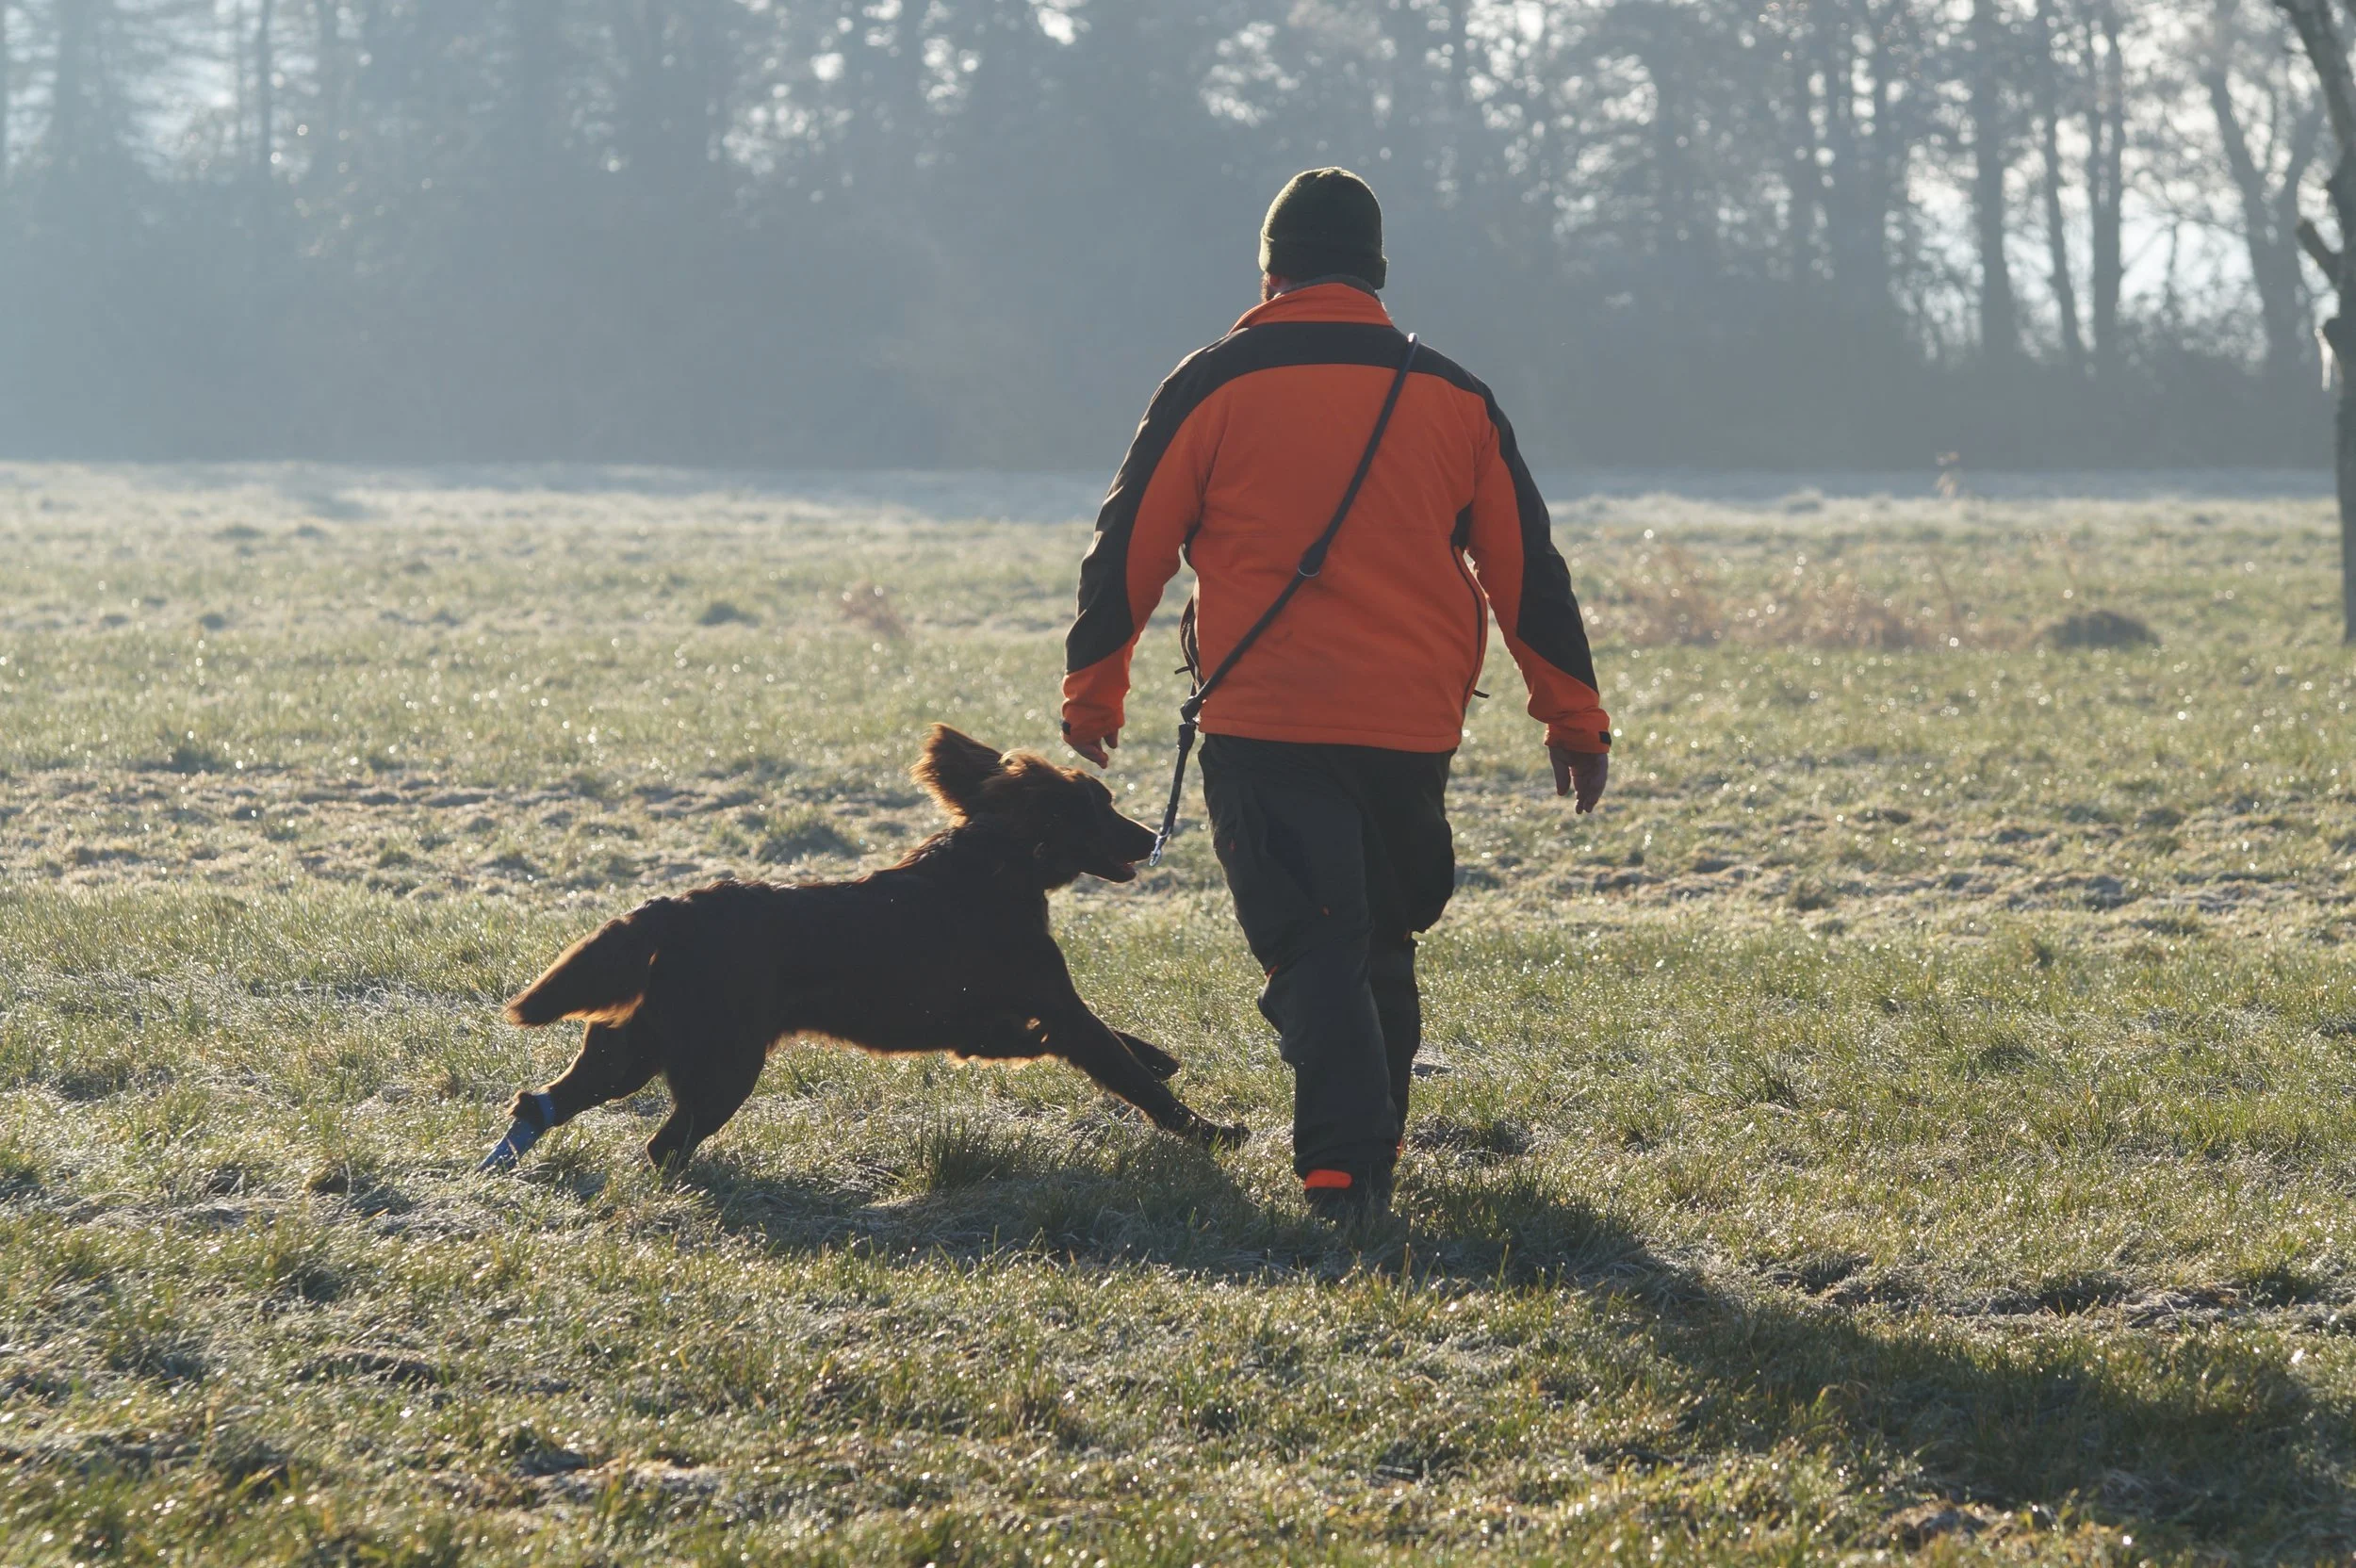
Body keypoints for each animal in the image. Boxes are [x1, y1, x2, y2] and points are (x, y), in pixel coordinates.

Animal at [479, 725, 1248, 1172]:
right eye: (1102, 806)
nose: (1152, 836)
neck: (997, 864)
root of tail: (677, 910)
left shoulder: (1001, 1025)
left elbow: (1113, 1048)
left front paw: (1165, 1058)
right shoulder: (1054, 1005)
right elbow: (1129, 1072)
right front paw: (1212, 1132)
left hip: (632, 1050)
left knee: (539, 1101)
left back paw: (501, 1163)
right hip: (722, 1065)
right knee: (662, 1145)